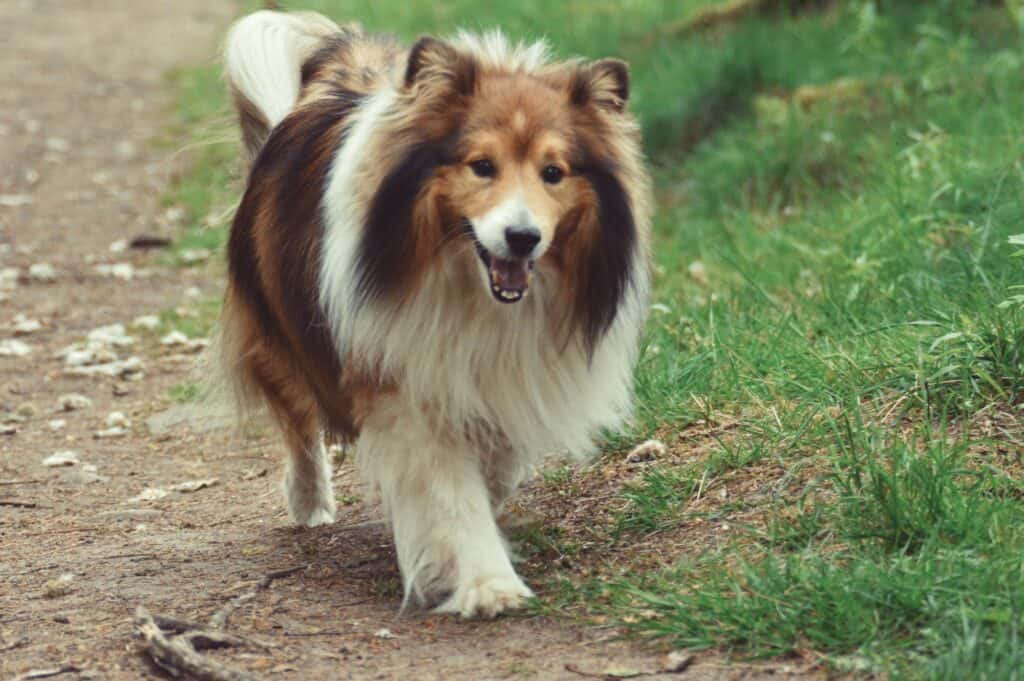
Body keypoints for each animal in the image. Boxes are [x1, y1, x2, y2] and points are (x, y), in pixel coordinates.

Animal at [220, 9, 651, 614]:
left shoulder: (507, 374)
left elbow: (498, 461)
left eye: (554, 172)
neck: (468, 287)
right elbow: (450, 489)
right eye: (481, 165)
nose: (522, 238)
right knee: (297, 420)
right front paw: (488, 582)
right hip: (279, 332)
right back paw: (309, 502)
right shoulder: (404, 381)